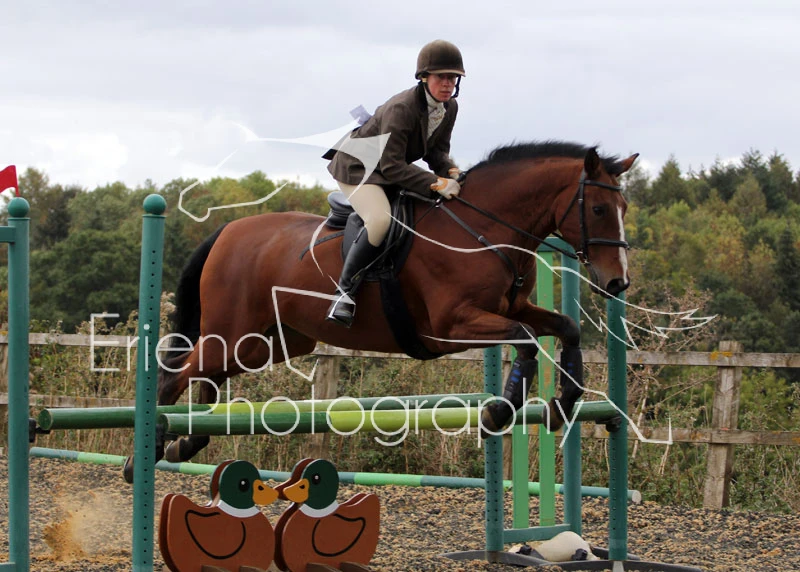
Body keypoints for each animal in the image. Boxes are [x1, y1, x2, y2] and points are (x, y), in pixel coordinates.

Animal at [124, 140, 637, 481]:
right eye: (596, 209)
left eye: (624, 207)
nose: (618, 283)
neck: (481, 230)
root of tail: (228, 231)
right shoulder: (452, 325)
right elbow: (526, 341)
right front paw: (500, 412)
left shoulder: (514, 307)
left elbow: (565, 329)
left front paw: (563, 404)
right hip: (234, 333)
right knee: (174, 377)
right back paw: (141, 458)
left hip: (268, 342)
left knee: (206, 378)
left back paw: (186, 441)